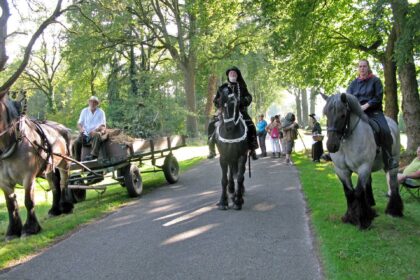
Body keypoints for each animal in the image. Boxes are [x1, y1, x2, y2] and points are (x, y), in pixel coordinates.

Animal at [0, 92, 72, 241]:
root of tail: (62, 127)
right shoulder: (3, 182)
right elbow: (11, 205)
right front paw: (12, 231)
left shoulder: (28, 177)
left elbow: (28, 201)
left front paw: (30, 228)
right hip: (50, 168)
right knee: (55, 186)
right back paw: (54, 210)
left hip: (65, 163)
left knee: (64, 182)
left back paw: (66, 206)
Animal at [322, 93, 404, 229]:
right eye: (326, 114)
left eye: (343, 115)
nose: (331, 146)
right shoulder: (342, 171)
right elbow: (349, 193)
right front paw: (349, 217)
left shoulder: (363, 168)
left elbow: (358, 192)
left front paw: (363, 220)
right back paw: (370, 206)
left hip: (392, 163)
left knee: (393, 184)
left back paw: (394, 210)